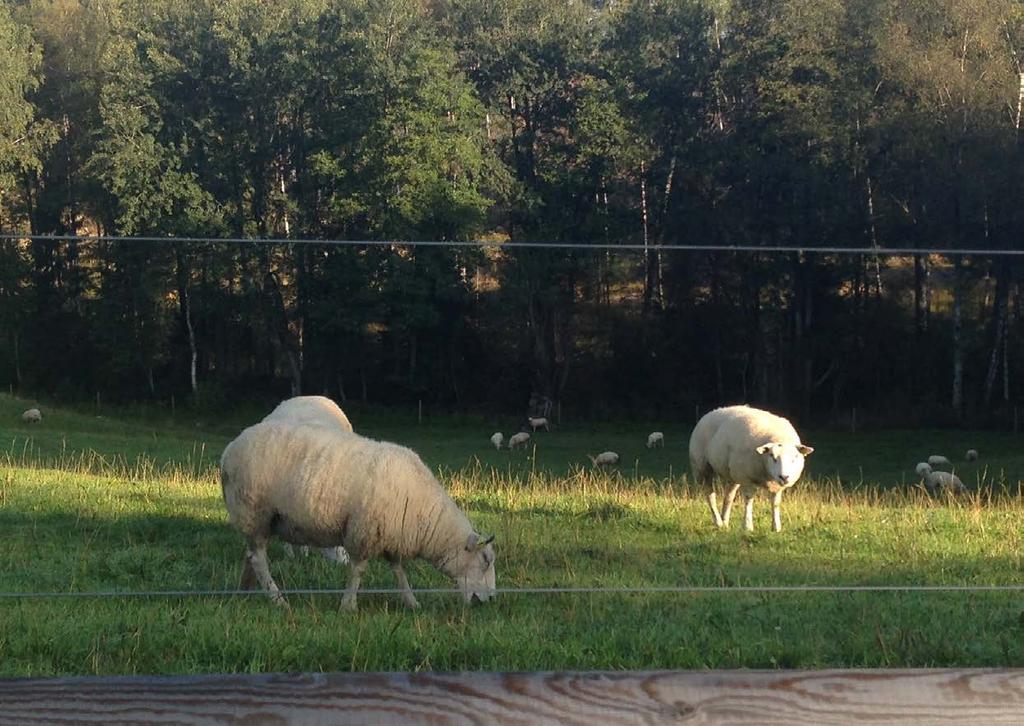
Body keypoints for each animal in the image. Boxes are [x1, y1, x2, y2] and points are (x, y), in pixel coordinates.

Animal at [222, 421, 497, 610]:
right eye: (485, 560)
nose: (493, 598)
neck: (425, 514)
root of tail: (229, 450)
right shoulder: (363, 531)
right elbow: (358, 571)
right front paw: (348, 605)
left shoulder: (391, 537)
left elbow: (399, 572)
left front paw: (411, 602)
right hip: (254, 511)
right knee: (259, 559)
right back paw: (277, 599)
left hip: (258, 520)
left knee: (251, 556)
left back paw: (243, 592)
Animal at [688, 401, 815, 532]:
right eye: (772, 456)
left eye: (795, 457)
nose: (784, 477)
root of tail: (712, 412)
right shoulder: (747, 479)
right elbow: (749, 500)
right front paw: (748, 526)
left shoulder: (776, 486)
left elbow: (775, 503)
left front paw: (776, 527)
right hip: (701, 467)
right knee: (710, 495)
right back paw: (718, 522)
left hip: (732, 474)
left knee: (729, 496)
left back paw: (725, 522)